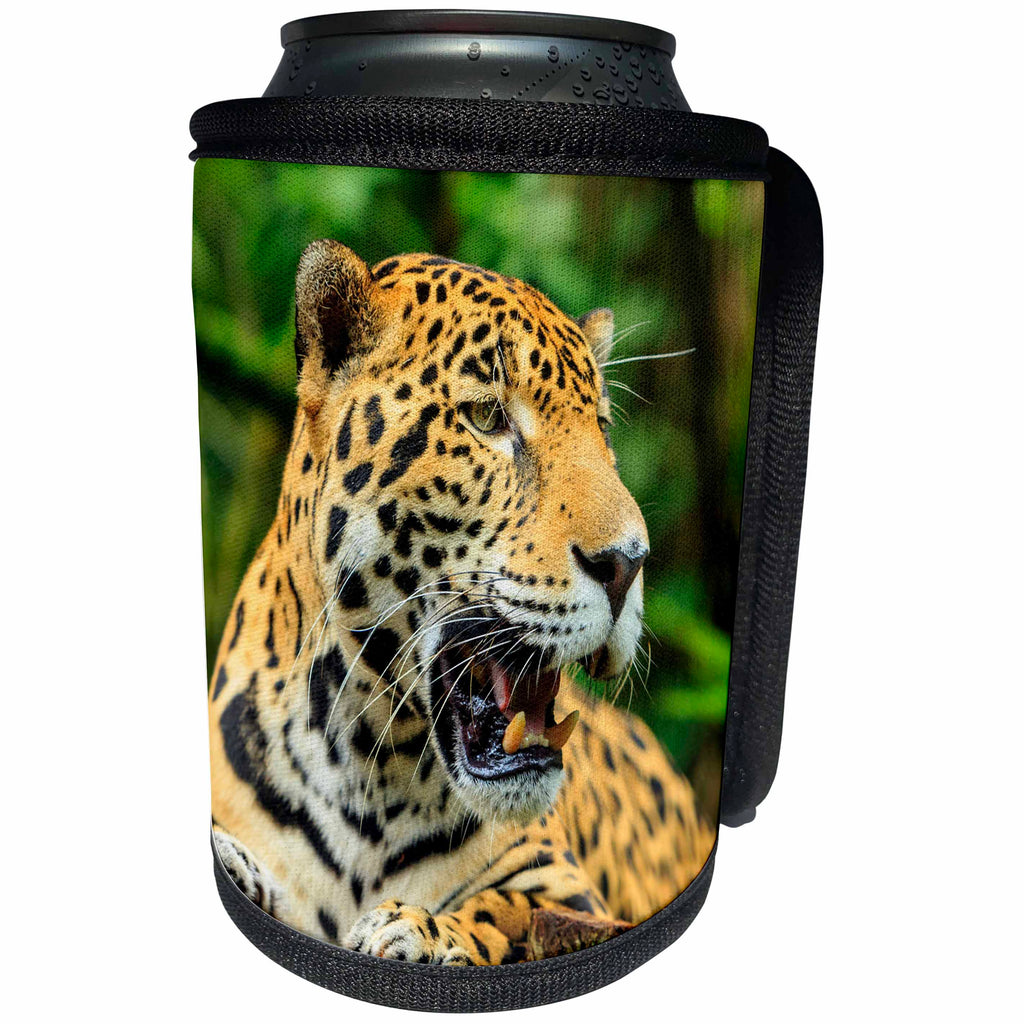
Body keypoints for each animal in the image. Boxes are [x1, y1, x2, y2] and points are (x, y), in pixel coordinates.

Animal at [207, 239, 716, 965]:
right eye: (488, 418)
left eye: (601, 431)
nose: (629, 563)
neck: (369, 768)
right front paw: (241, 867)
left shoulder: (570, 895)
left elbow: (504, 909)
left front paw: (417, 929)